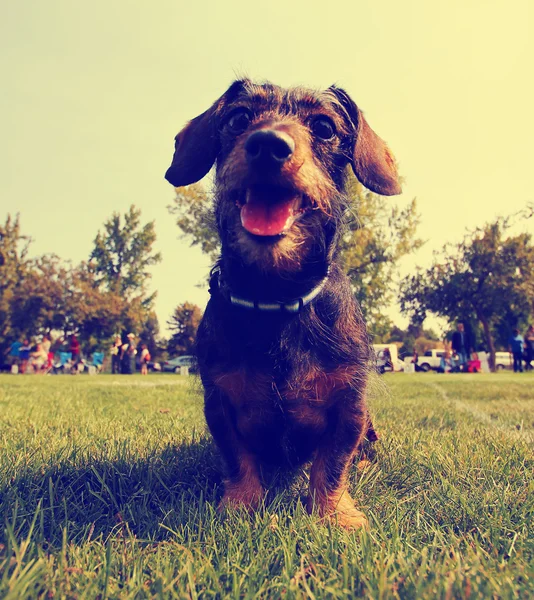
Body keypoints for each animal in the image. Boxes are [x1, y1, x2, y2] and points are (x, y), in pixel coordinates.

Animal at [165, 79, 400, 528]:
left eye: (324, 127)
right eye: (238, 118)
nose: (267, 145)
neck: (277, 298)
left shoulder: (350, 402)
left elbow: (332, 465)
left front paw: (334, 516)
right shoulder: (219, 400)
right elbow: (238, 460)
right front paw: (240, 505)